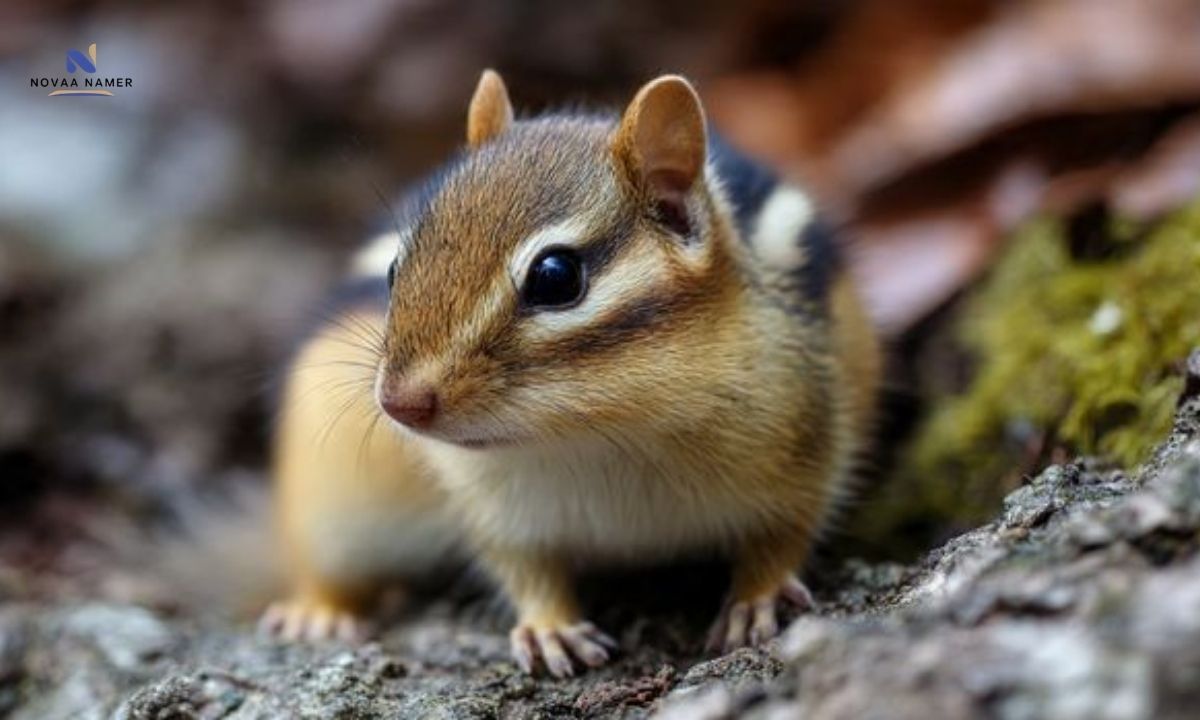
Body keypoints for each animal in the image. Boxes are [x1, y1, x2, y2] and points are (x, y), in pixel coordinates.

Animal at [258, 69, 881, 677]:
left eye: (555, 277)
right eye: (393, 271)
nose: (399, 403)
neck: (597, 433)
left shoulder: (804, 441)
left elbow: (787, 530)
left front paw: (759, 596)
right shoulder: (498, 510)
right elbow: (523, 565)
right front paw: (548, 628)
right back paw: (320, 612)